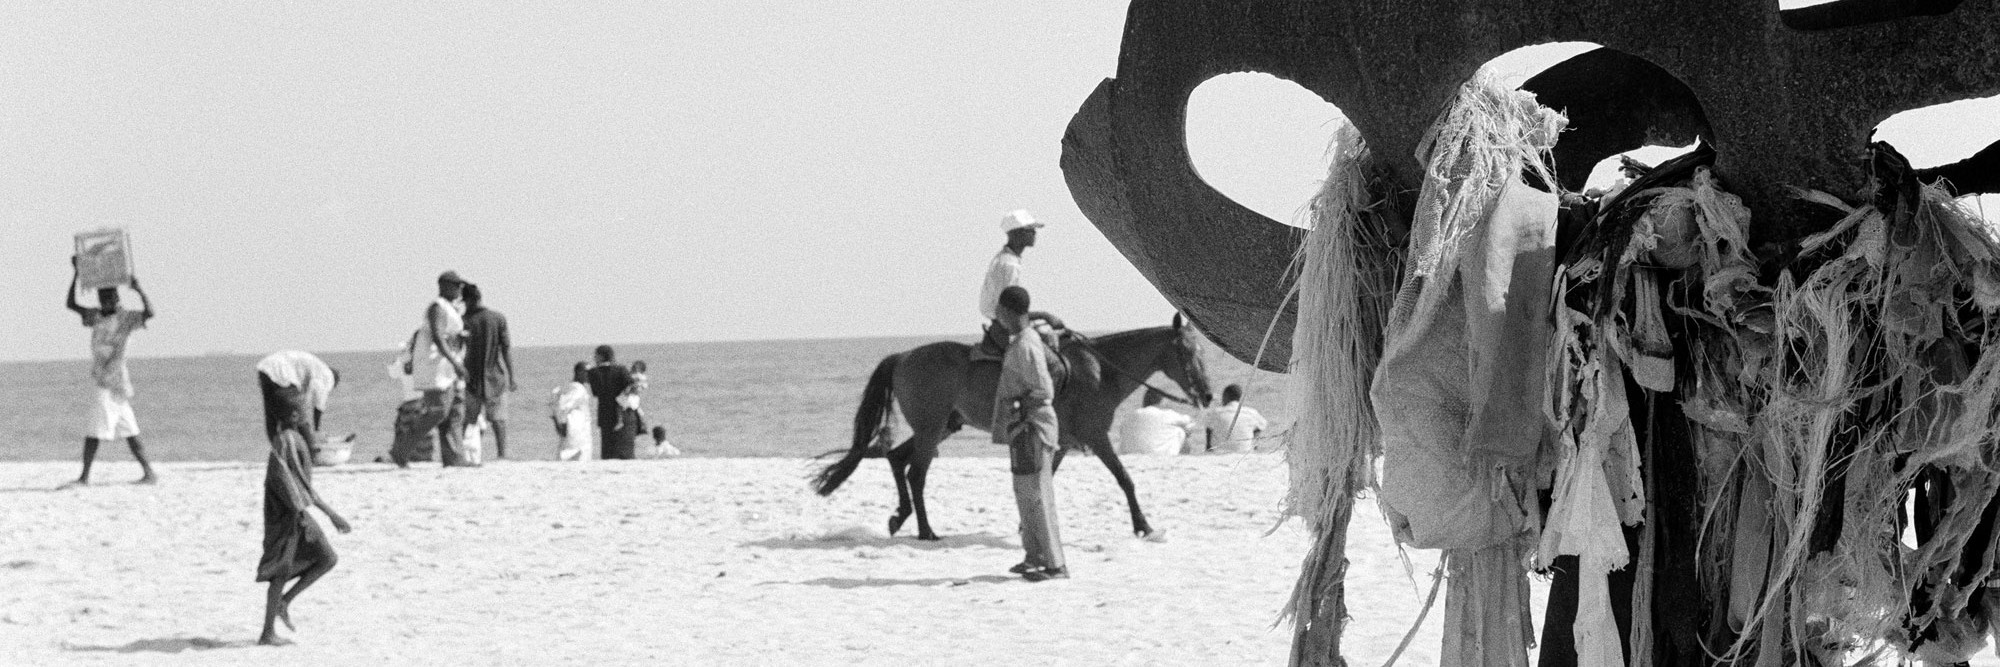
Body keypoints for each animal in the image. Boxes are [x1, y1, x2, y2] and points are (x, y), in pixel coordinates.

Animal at [808, 315, 1208, 539]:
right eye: (1189, 353)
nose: (1206, 393)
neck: (1099, 371)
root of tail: (903, 356)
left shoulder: (1063, 442)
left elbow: (1048, 479)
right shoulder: (1096, 437)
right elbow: (1125, 478)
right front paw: (1144, 526)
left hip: (940, 427)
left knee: (896, 458)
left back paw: (899, 518)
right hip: (931, 429)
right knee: (916, 472)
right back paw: (926, 531)